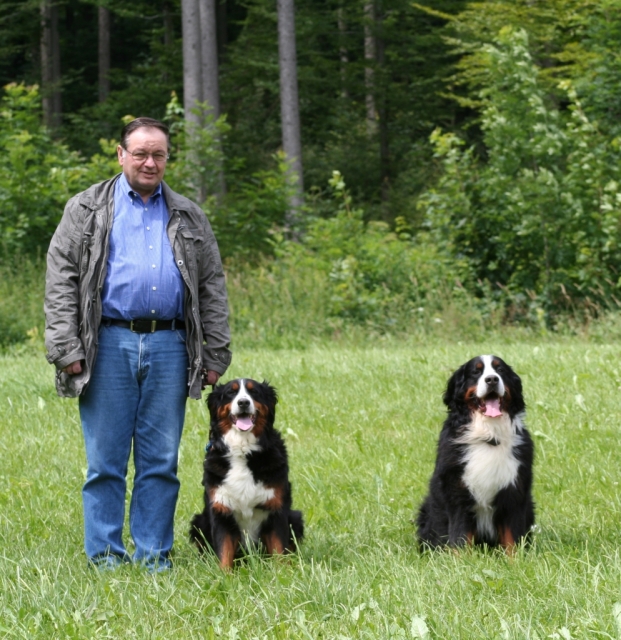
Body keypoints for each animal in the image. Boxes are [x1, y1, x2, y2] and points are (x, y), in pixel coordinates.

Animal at [190, 378, 304, 568]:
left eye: (254, 392)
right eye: (231, 392)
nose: (243, 402)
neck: (242, 450)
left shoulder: (276, 508)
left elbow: (279, 548)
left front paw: (283, 572)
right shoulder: (221, 510)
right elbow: (224, 551)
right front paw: (223, 574)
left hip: (295, 517)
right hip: (199, 521)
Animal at [416, 352, 532, 552]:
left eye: (500, 370)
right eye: (476, 372)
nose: (492, 379)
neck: (489, 436)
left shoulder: (514, 492)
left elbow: (512, 537)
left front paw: (516, 558)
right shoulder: (458, 492)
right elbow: (460, 536)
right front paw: (461, 559)